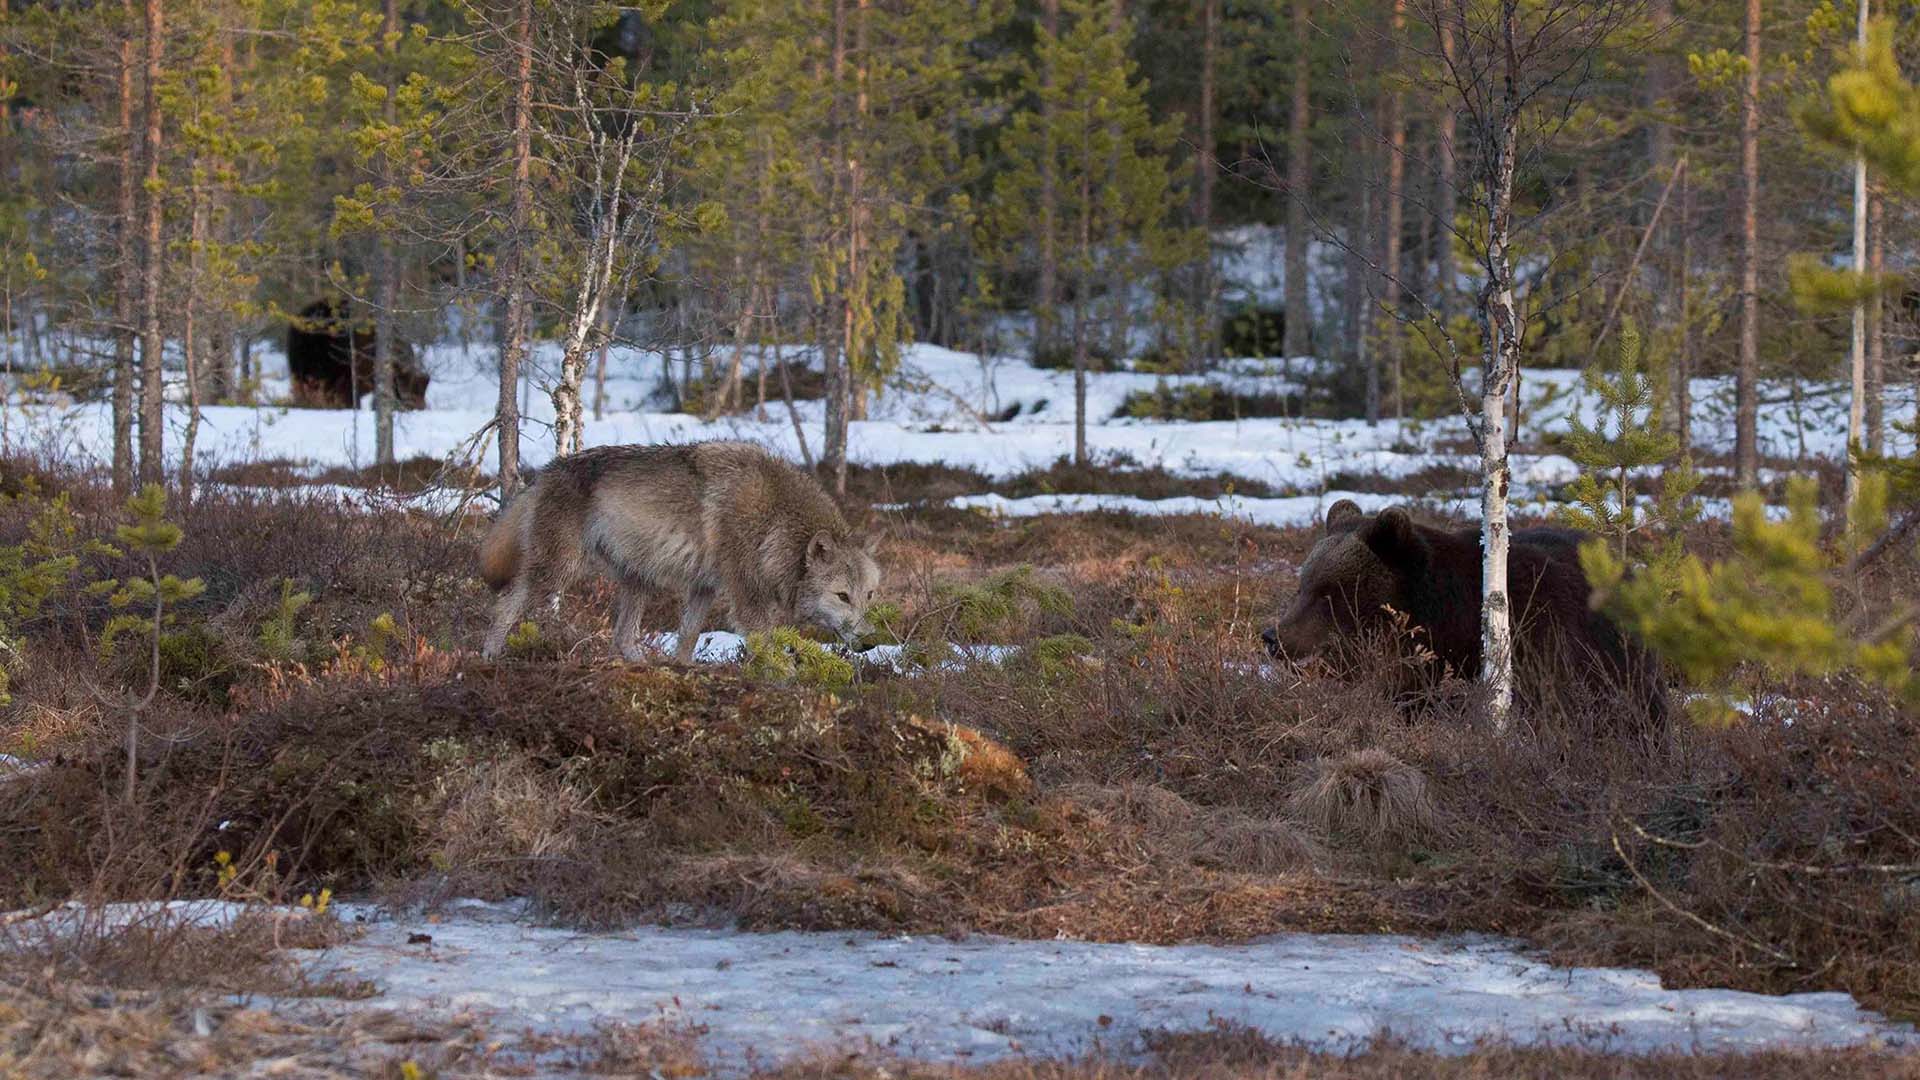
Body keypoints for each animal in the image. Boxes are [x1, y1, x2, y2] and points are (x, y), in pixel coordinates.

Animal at [478, 441, 882, 663]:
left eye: (869, 595)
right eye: (842, 596)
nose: (870, 642)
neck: (775, 522)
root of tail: (546, 471)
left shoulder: (704, 588)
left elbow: (687, 638)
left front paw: (682, 670)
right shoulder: (746, 602)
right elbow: (773, 654)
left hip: (638, 580)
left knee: (622, 638)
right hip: (559, 571)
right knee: (505, 604)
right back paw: (488, 656)